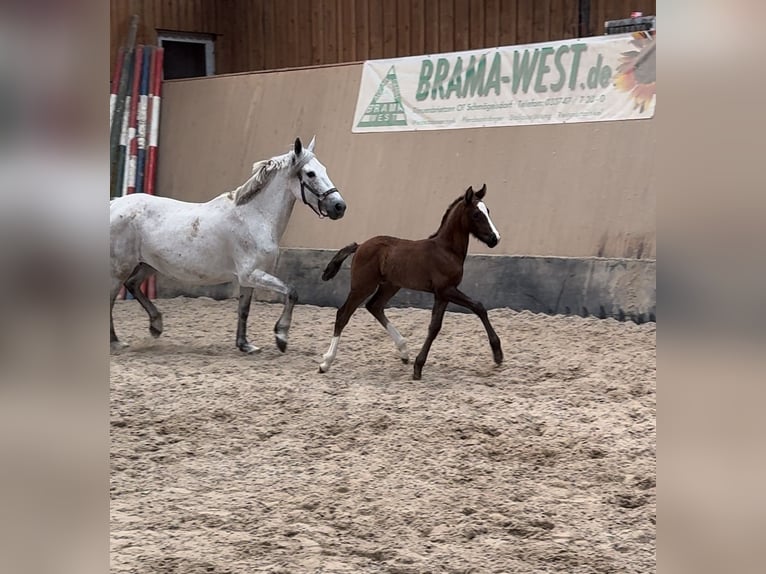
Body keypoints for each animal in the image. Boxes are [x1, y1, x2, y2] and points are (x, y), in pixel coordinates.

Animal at [318, 186, 504, 382]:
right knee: (343, 315)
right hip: (363, 286)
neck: (446, 250)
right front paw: (497, 353)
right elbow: (478, 306)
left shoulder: (443, 294)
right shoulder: (446, 290)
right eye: (476, 214)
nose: (495, 238)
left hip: (390, 285)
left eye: (488, 211)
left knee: (374, 306)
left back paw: (404, 351)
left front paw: (418, 366)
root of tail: (360, 245)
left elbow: (435, 327)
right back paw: (326, 363)